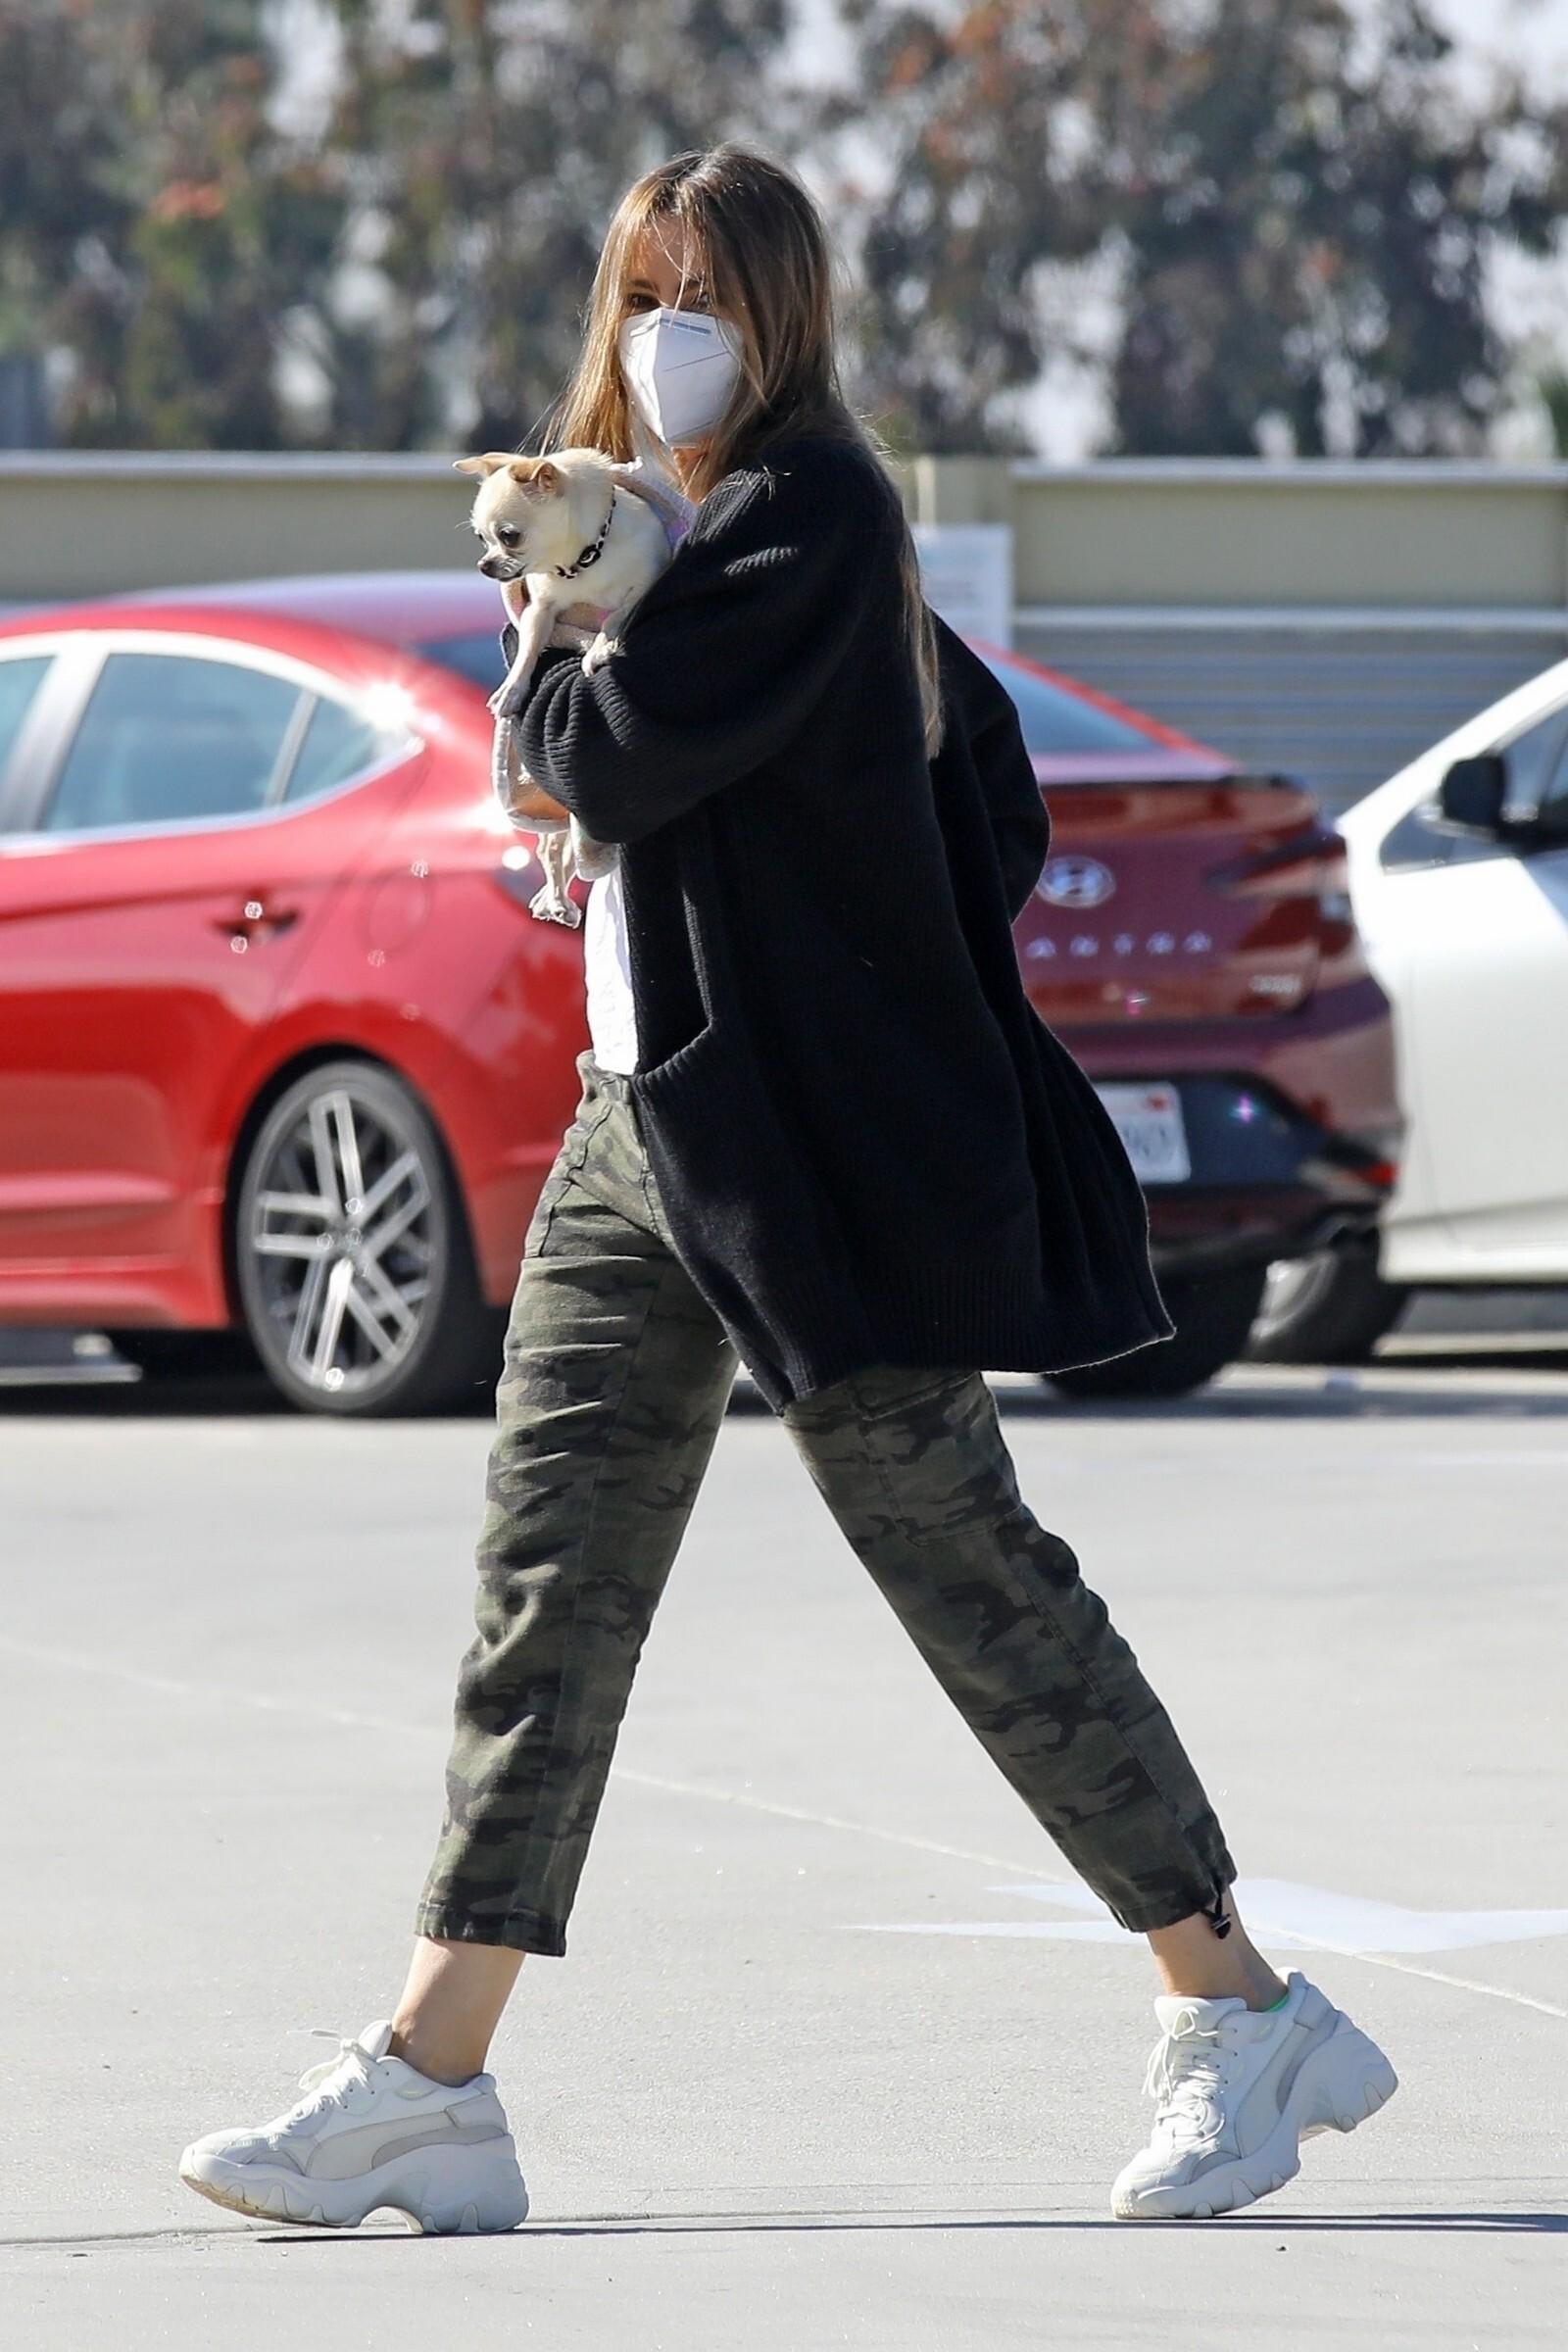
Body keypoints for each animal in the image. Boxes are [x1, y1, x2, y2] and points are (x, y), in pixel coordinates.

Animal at [456, 448, 675, 925]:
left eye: (509, 536)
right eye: (481, 539)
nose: (484, 565)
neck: (580, 564)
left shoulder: (647, 583)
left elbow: (618, 613)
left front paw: (600, 648)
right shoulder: (540, 610)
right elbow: (527, 652)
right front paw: (512, 690)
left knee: (560, 850)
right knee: (550, 850)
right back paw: (554, 900)